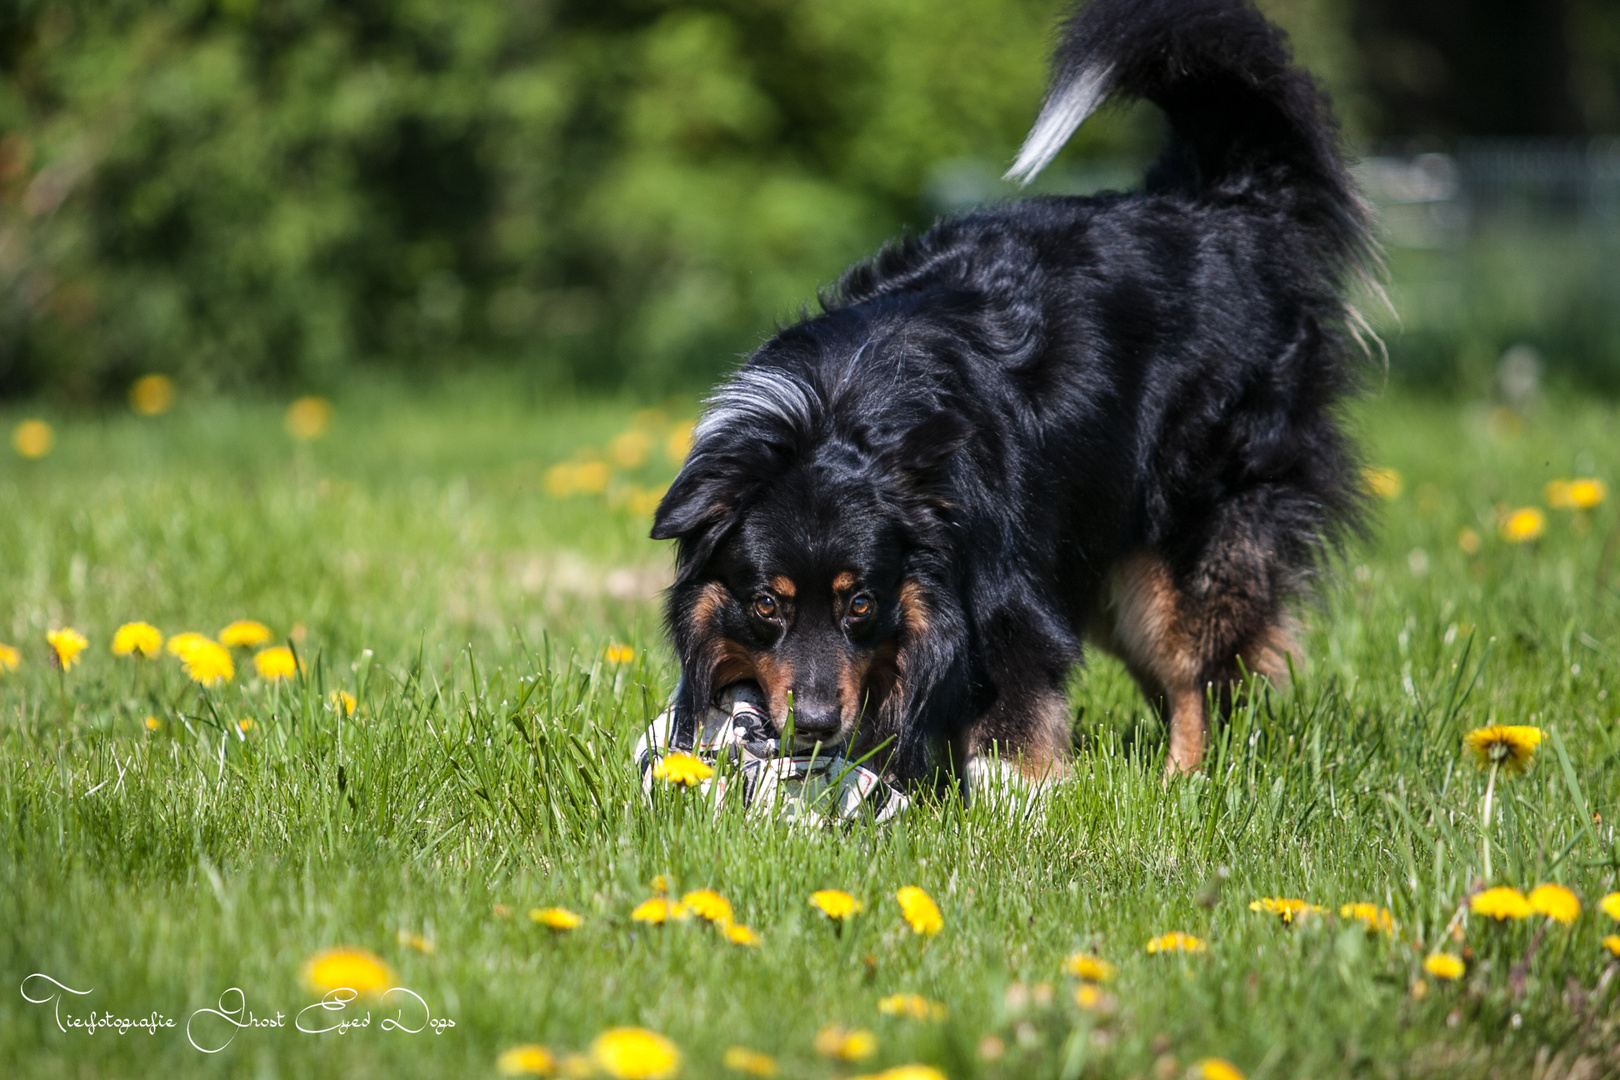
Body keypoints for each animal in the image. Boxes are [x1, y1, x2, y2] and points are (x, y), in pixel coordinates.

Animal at [651, 2, 1373, 793]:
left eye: (862, 602)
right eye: (765, 604)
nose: (813, 728)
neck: (835, 410)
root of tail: (1219, 205)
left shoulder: (1007, 595)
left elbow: (1011, 723)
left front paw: (1014, 808)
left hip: (1187, 540)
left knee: (1195, 675)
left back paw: (1181, 783)